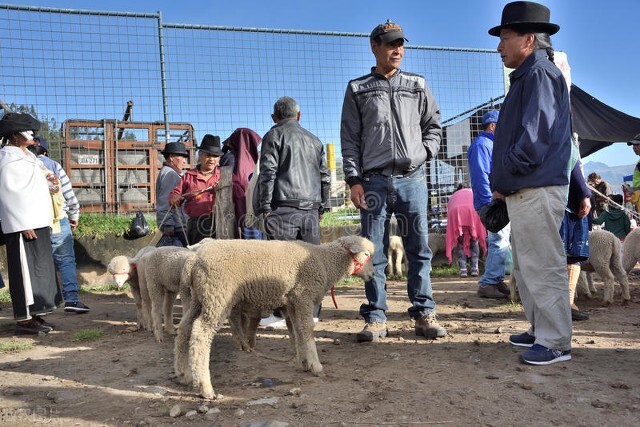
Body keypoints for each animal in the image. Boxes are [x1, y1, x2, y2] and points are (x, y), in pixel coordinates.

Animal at [175, 236, 376, 400]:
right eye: (366, 254)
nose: (373, 275)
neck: (325, 261)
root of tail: (194, 259)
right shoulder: (303, 297)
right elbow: (307, 330)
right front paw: (316, 366)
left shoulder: (293, 302)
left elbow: (297, 331)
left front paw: (304, 361)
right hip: (217, 296)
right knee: (200, 333)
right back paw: (205, 388)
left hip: (199, 298)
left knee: (184, 329)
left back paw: (184, 374)